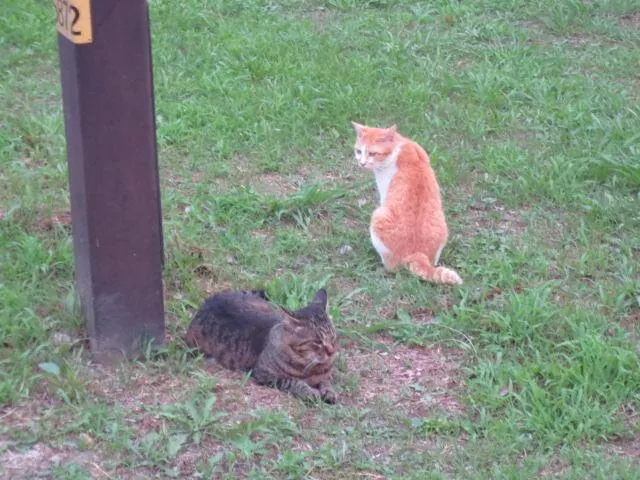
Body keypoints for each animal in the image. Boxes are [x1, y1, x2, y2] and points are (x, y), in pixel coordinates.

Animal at [184, 288, 338, 402]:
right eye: (317, 341)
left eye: (332, 336)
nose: (331, 351)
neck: (310, 367)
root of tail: (208, 302)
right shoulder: (264, 374)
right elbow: (293, 382)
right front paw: (310, 391)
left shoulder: (324, 375)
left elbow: (326, 381)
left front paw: (329, 391)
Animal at [352, 121, 462, 284]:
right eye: (359, 151)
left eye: (372, 154)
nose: (362, 163)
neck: (399, 148)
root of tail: (417, 254)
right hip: (442, 225)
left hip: (378, 215)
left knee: (392, 267)